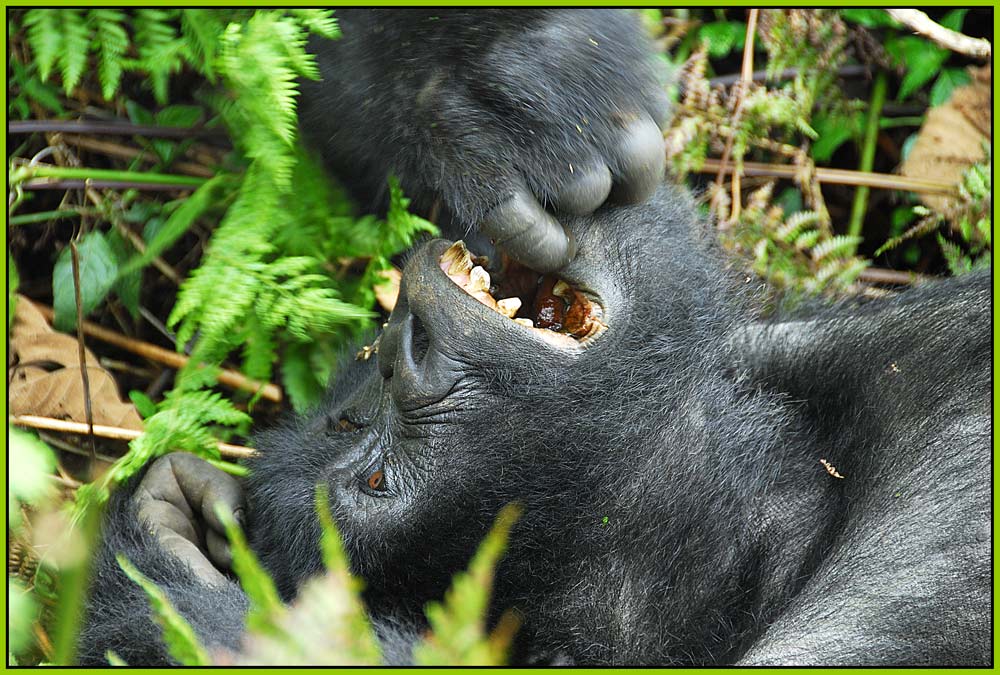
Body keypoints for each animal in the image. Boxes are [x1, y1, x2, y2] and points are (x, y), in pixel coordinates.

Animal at [78, 7, 992, 668]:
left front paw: (486, 76)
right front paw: (149, 578)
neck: (779, 524)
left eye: (359, 398)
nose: (407, 348)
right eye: (373, 476)